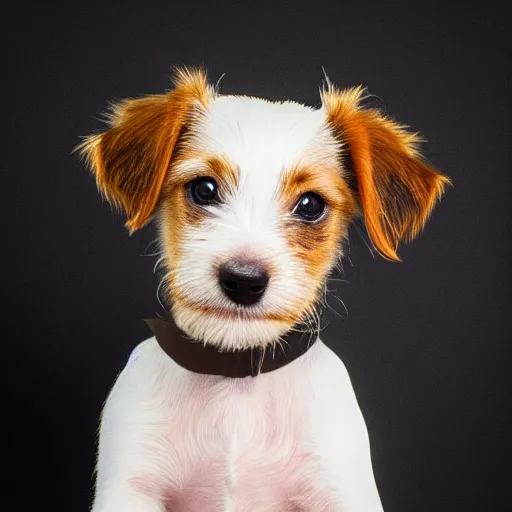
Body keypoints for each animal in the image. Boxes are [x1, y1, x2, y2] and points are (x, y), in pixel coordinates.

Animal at [79, 69, 448, 512]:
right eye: (204, 189)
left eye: (310, 205)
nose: (243, 280)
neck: (236, 380)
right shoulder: (131, 484)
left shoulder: (341, 489)